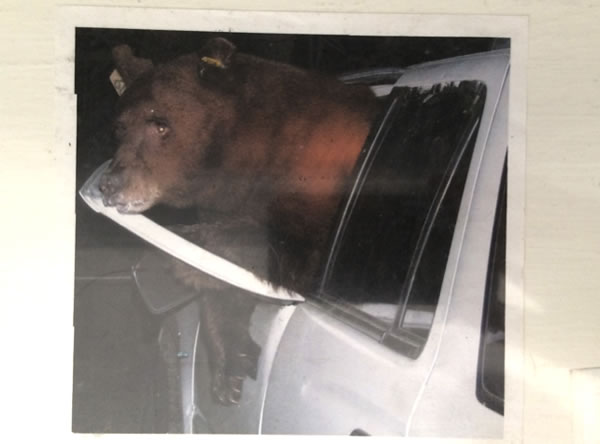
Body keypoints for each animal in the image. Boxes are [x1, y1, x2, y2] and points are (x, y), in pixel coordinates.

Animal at [98, 38, 380, 406]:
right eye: (119, 128)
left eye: (160, 123)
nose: (110, 185)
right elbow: (226, 287)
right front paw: (228, 368)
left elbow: (298, 246)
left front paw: (181, 248)